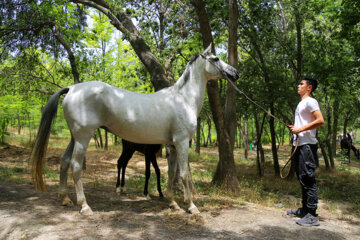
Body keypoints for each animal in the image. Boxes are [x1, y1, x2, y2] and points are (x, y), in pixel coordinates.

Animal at [31, 44, 239, 215]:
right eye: (215, 59)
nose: (235, 73)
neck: (183, 99)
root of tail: (72, 88)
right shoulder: (181, 143)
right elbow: (184, 174)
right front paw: (191, 206)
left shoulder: (172, 146)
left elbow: (171, 173)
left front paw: (173, 203)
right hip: (83, 137)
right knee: (75, 166)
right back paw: (85, 206)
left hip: (75, 137)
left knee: (65, 161)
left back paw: (65, 198)